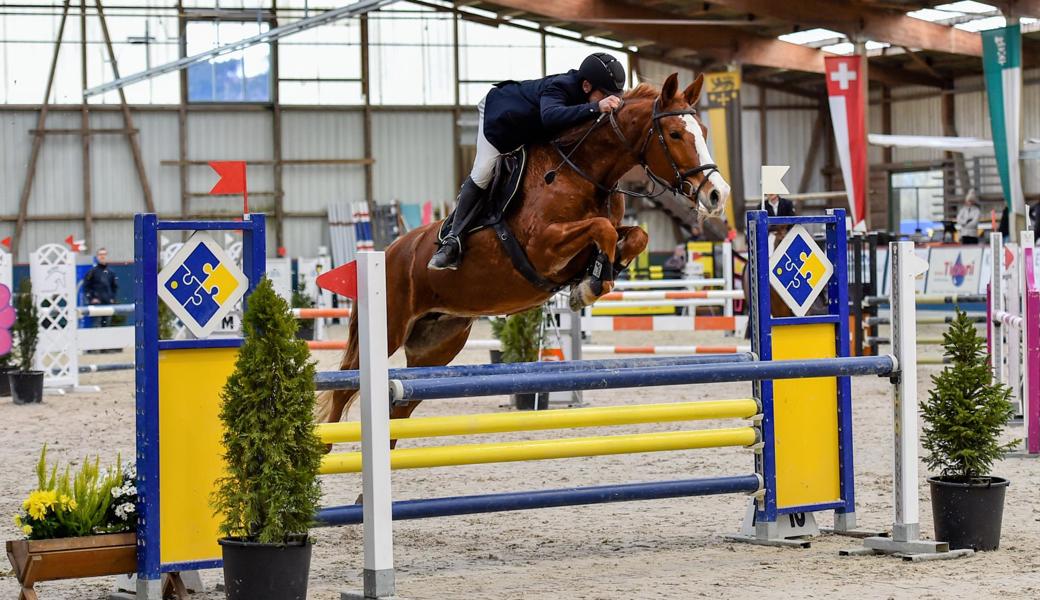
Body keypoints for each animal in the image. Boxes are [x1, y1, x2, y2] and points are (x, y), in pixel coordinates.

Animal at [316, 72, 732, 430]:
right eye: (675, 134)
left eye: (704, 132)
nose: (718, 194)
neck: (582, 171)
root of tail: (389, 252)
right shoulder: (542, 247)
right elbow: (601, 229)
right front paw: (590, 286)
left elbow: (634, 237)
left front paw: (595, 278)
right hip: (389, 328)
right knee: (343, 391)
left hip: (435, 345)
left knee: (399, 407)